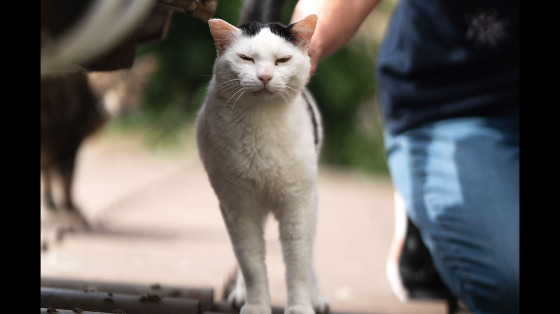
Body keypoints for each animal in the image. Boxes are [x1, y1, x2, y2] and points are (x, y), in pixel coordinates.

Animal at [196, 14, 328, 314]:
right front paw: (256, 304)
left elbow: (298, 263)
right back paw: (240, 294)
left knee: (310, 255)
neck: (261, 122)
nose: (265, 76)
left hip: (312, 201)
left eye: (282, 60)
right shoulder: (238, 208)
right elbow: (251, 263)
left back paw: (316, 297)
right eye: (246, 58)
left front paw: (300, 306)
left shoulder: (297, 204)